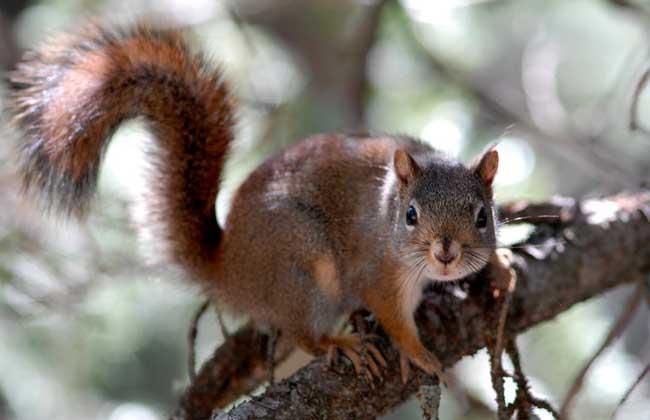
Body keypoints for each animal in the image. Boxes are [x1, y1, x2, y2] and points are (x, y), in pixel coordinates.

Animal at [7, 22, 496, 384]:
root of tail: (230, 270)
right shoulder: (378, 271)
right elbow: (394, 317)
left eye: (482, 216)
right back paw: (337, 343)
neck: (388, 209)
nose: (446, 253)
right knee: (301, 330)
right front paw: (419, 353)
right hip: (304, 266)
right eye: (411, 215)